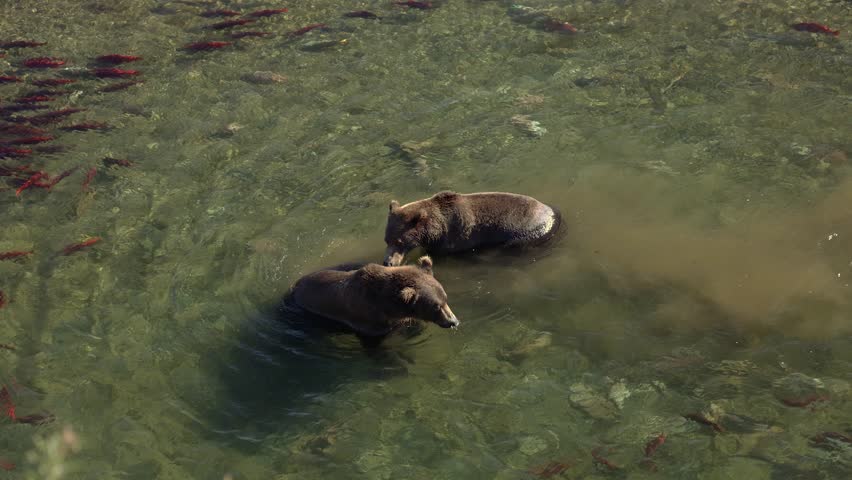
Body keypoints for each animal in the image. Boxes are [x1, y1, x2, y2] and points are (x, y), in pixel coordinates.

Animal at [383, 191, 561, 266]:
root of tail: (554, 214)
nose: (387, 262)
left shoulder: (453, 238)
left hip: (525, 233)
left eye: (399, 241)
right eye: (386, 240)